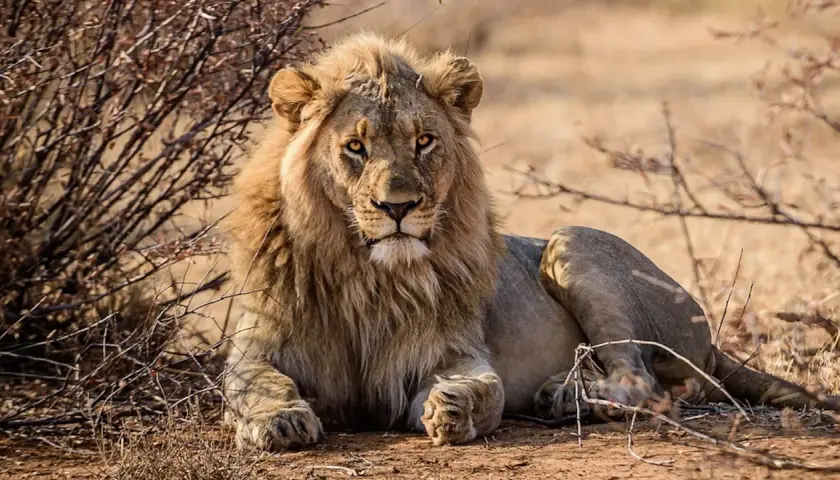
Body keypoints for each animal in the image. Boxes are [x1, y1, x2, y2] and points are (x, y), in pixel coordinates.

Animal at [223, 33, 840, 451]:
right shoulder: (257, 346)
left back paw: (568, 398)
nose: (397, 208)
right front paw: (280, 420)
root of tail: (710, 339)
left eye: (424, 142)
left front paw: (454, 408)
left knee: (642, 382)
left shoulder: (452, 352)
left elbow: (486, 389)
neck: (365, 273)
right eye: (355, 146)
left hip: (573, 244)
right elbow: (253, 383)